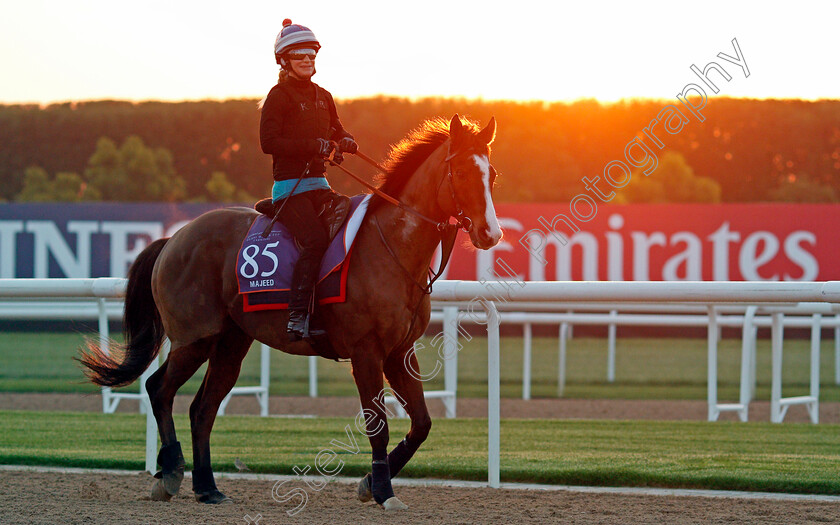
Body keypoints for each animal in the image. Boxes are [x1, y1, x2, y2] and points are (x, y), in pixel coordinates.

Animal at [79, 113, 502, 508]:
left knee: (203, 409)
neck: (391, 247)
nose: (491, 233)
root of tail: (173, 239)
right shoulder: (366, 352)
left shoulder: (400, 353)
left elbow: (422, 423)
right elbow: (377, 425)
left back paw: (207, 487)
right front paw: (383, 491)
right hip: (193, 338)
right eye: (462, 171)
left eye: (492, 174)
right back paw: (169, 474)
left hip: (230, 343)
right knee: (159, 389)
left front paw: (369, 483)